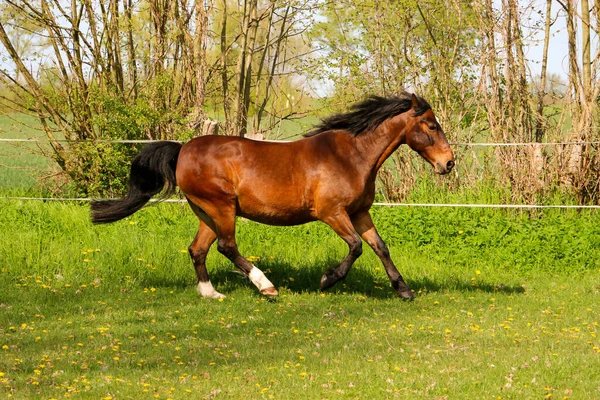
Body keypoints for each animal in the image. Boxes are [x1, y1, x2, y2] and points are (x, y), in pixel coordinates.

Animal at [89, 93, 454, 300]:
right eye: (432, 125)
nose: (448, 163)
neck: (350, 156)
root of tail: (182, 150)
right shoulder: (332, 213)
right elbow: (356, 248)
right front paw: (327, 280)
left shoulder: (360, 212)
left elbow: (380, 247)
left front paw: (404, 290)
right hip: (222, 208)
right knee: (226, 247)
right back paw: (266, 287)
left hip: (207, 212)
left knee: (198, 250)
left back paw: (211, 293)